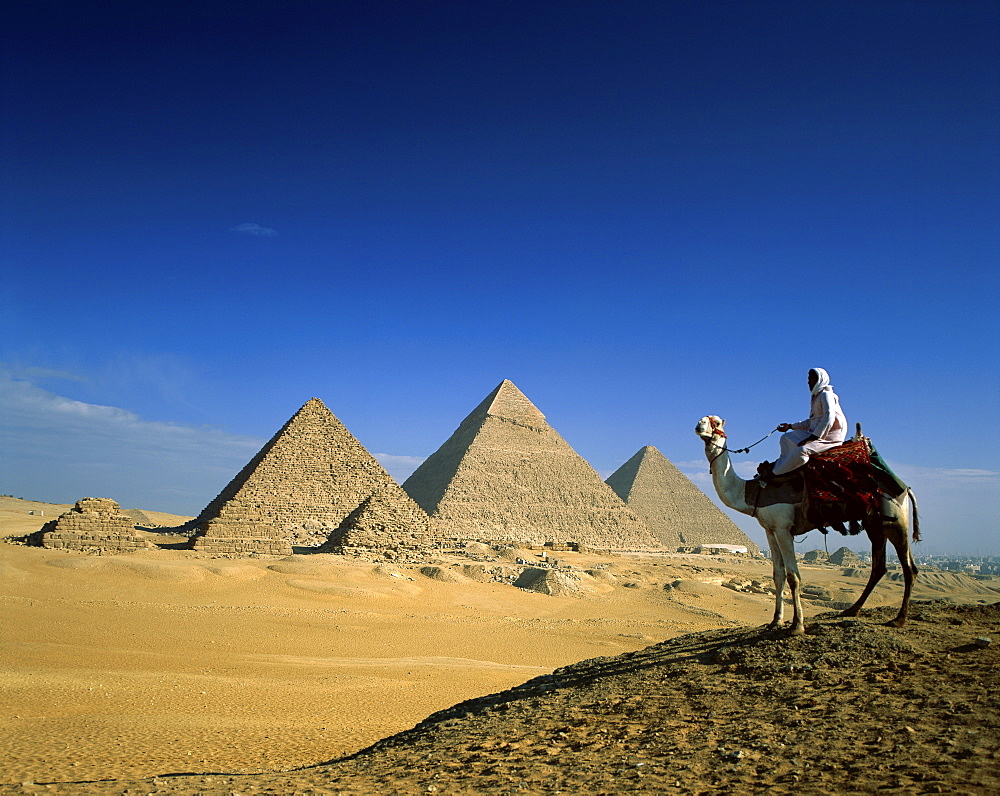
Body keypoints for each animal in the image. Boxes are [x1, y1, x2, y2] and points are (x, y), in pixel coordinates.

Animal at [696, 416, 920, 636]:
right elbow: (778, 575)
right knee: (879, 566)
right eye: (704, 419)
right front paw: (776, 621)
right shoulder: (770, 530)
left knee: (909, 568)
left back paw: (899, 619)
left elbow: (793, 576)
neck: (751, 491)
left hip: (895, 521)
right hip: (874, 523)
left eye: (716, 422)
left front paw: (797, 625)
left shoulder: (784, 529)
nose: (699, 425)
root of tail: (905, 487)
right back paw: (852, 610)